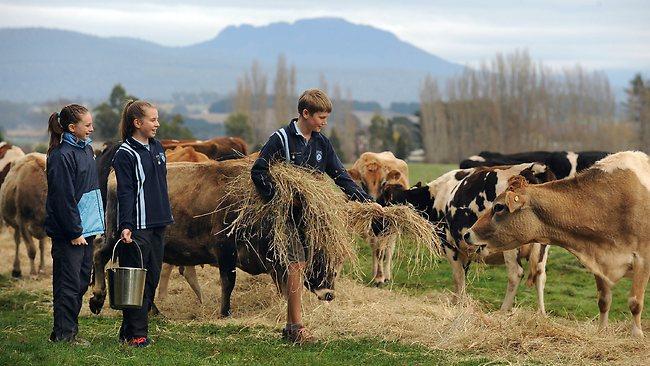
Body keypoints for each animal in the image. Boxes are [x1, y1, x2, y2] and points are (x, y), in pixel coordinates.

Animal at [350, 152, 404, 286]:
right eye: (363, 183)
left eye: (384, 183)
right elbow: (375, 250)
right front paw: (376, 276)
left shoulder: (386, 228)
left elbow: (381, 252)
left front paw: (380, 278)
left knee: (389, 250)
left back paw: (387, 276)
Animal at [380, 164, 552, 314]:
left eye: (385, 199)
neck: (435, 197)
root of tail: (533, 169)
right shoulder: (465, 249)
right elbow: (463, 276)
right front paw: (460, 303)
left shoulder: (450, 245)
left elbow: (458, 277)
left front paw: (457, 304)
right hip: (542, 246)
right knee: (540, 275)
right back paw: (541, 314)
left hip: (510, 246)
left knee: (515, 274)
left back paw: (503, 311)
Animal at [466, 152, 650, 338]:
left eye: (498, 207)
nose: (467, 234)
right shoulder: (598, 258)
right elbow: (604, 300)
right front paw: (601, 331)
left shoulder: (643, 259)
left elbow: (635, 302)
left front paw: (637, 335)